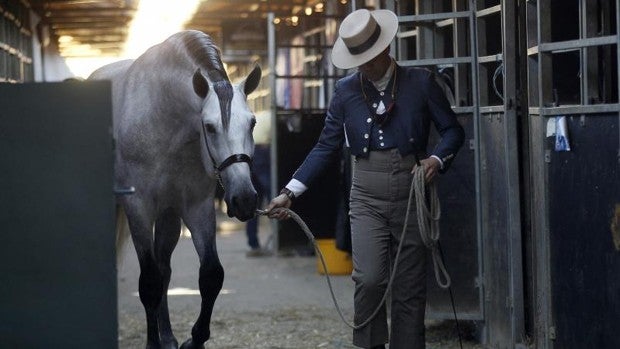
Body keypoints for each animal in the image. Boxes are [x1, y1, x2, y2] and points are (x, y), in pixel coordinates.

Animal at [89, 30, 262, 348]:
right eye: (209, 126)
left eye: (253, 122)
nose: (244, 199)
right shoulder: (139, 208)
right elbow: (148, 282)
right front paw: (152, 343)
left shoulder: (196, 207)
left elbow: (210, 275)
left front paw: (194, 339)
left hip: (169, 215)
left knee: (165, 270)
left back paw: (168, 335)